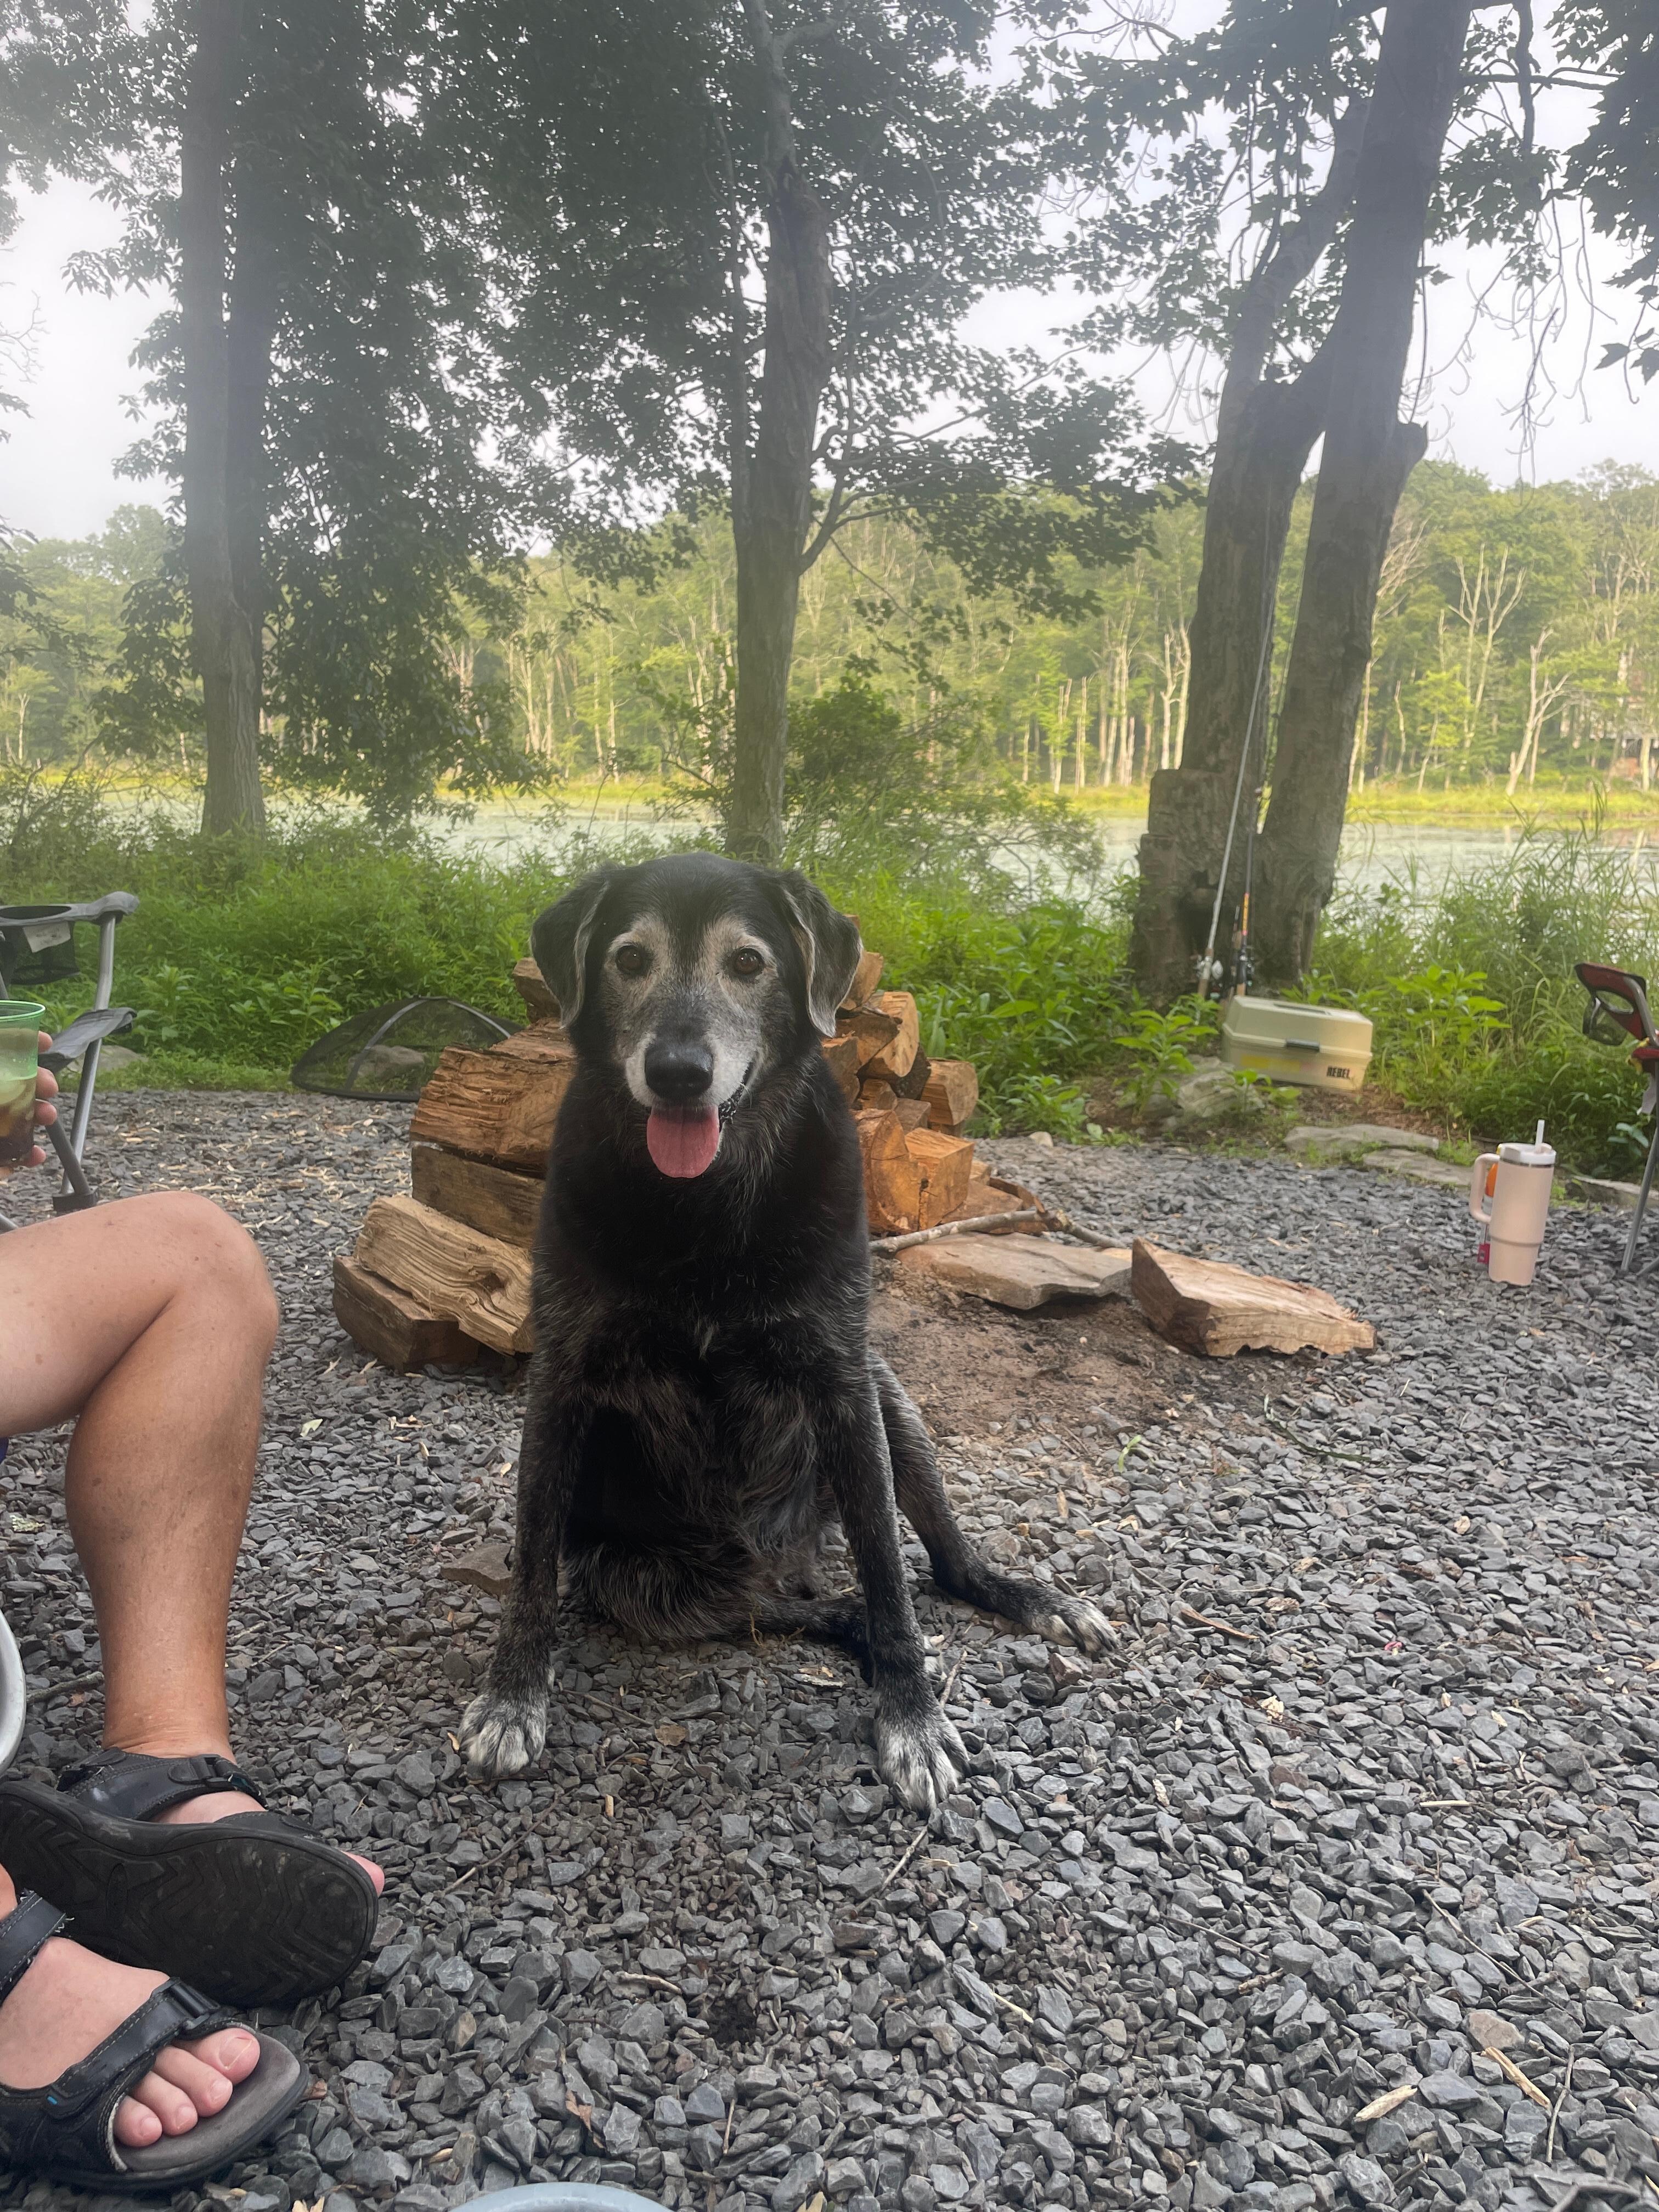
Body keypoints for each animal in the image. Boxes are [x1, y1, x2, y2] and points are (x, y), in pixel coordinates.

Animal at [458, 853, 1108, 1811]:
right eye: (628, 959)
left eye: (749, 963)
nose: (678, 1072)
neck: (704, 1207)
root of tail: (785, 1553)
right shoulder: (563, 1378)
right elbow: (534, 1559)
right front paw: (512, 1696)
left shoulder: (842, 1378)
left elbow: (888, 1567)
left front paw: (911, 1718)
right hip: (646, 1582)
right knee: (788, 1608)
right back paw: (850, 1628)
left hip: (891, 1403)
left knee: (941, 1564)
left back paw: (1024, 1602)